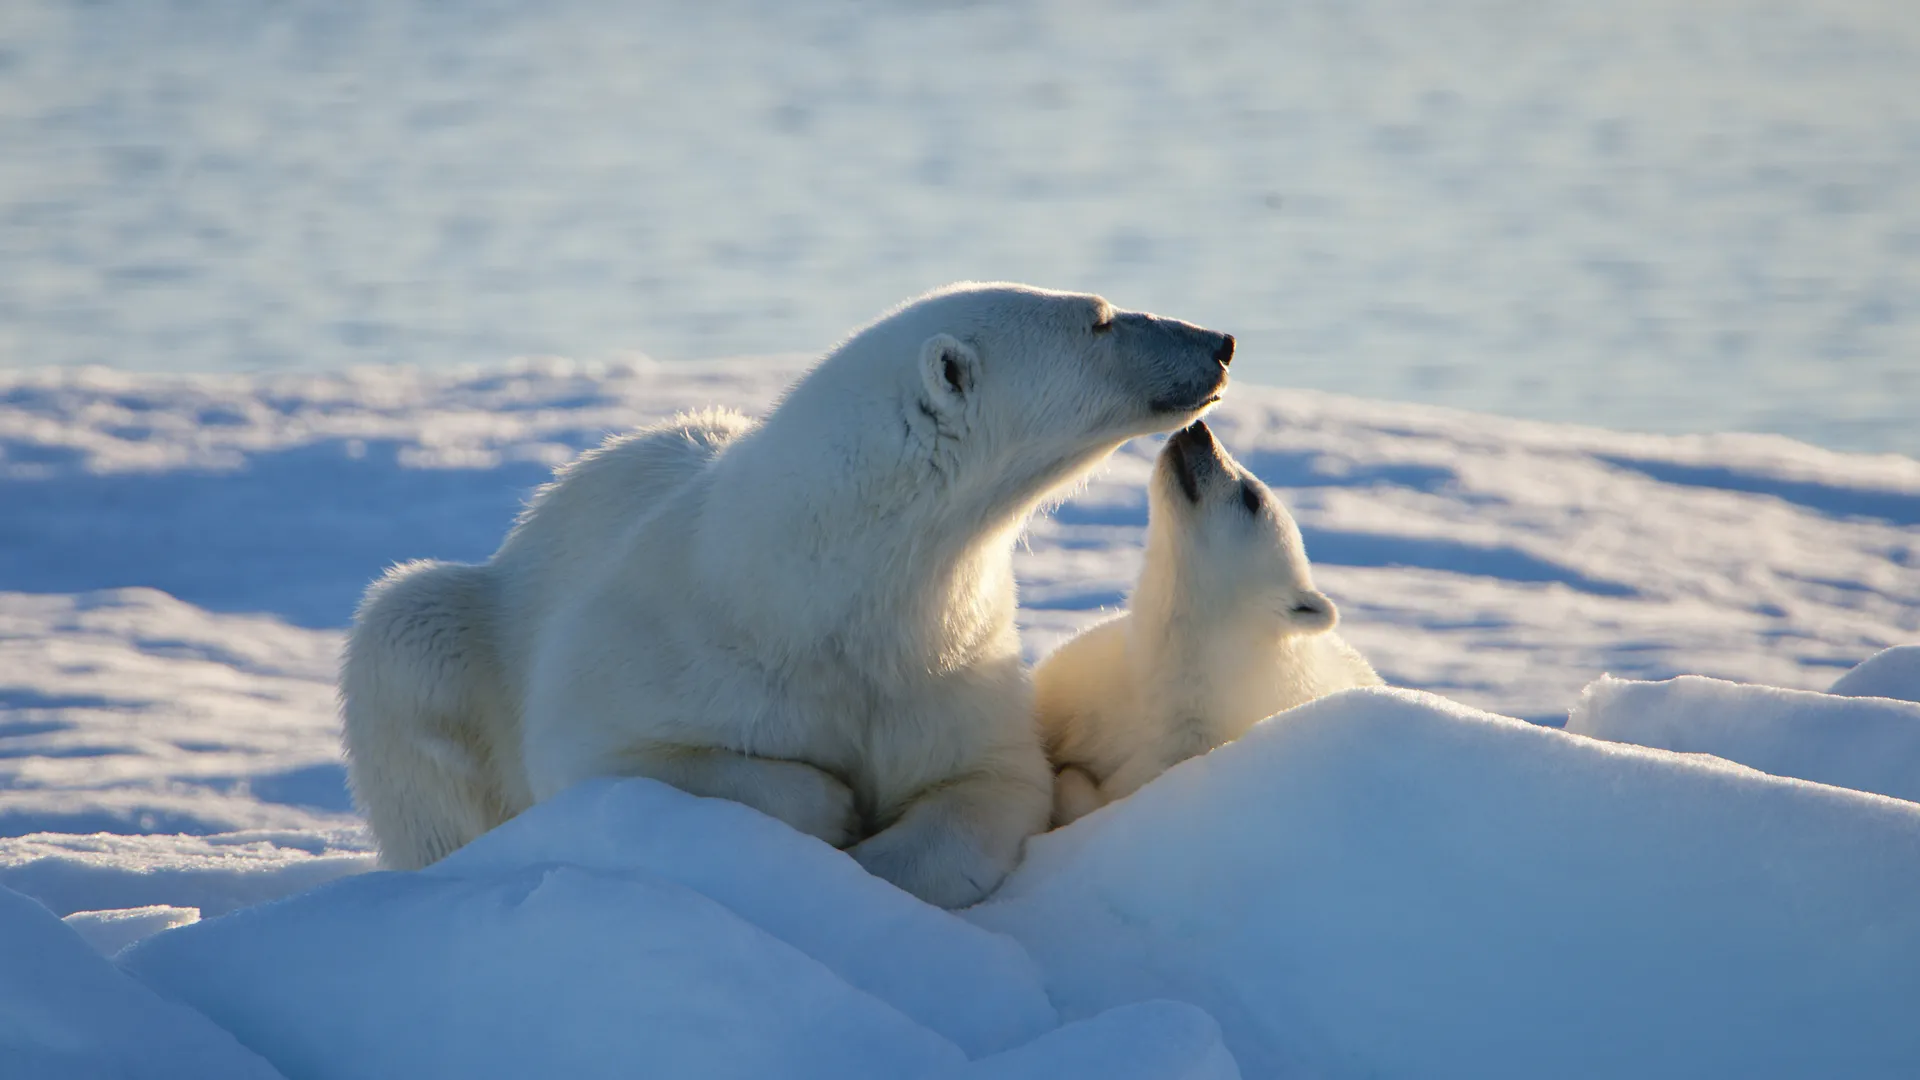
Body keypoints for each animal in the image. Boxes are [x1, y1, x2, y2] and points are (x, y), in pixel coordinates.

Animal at [339, 278, 1236, 899]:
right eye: (1102, 318)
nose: (1220, 338)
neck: (823, 584)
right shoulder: (670, 640)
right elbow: (608, 756)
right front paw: (831, 810)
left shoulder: (945, 659)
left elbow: (989, 782)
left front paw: (875, 860)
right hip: (460, 628)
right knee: (405, 631)